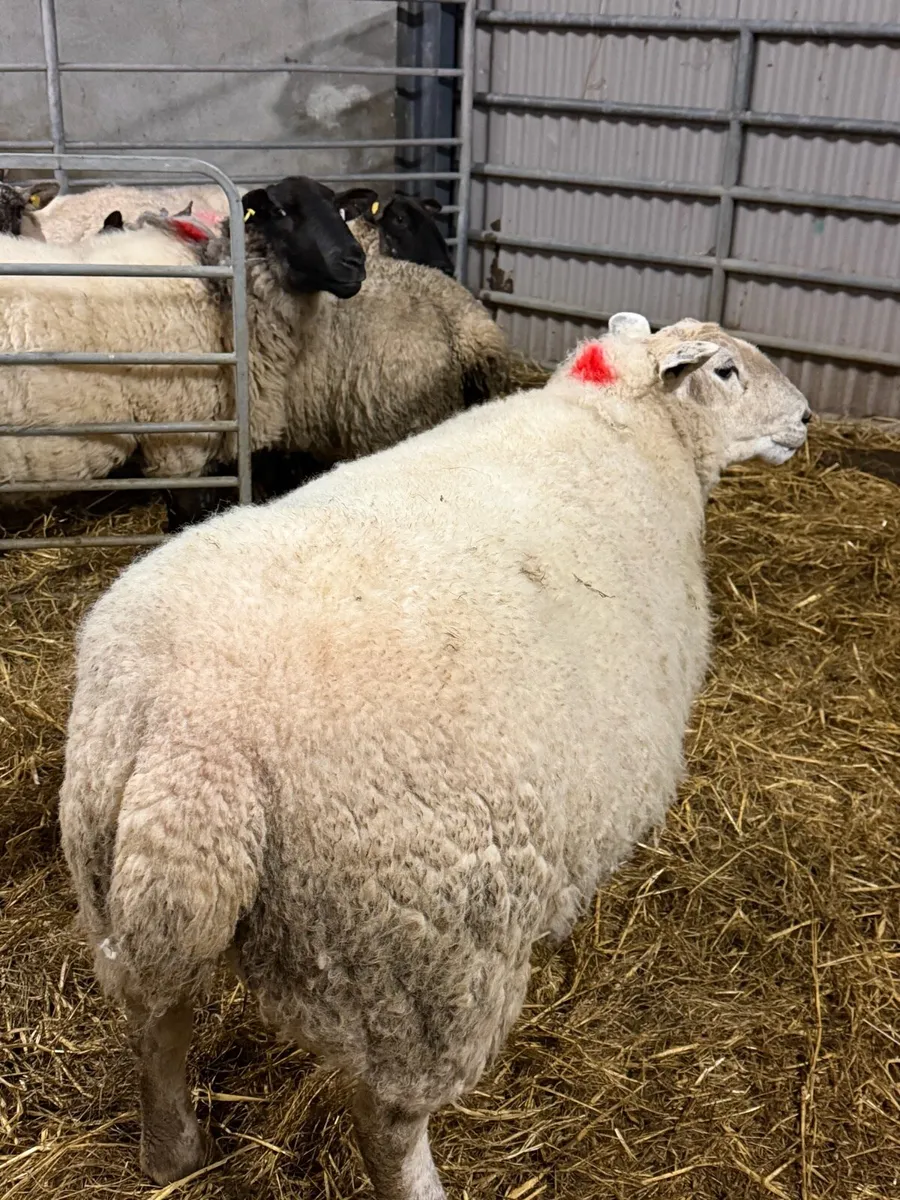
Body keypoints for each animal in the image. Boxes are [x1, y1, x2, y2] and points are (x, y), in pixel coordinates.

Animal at [58, 313, 811, 1198]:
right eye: (726, 371)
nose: (806, 418)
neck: (622, 421)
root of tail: (194, 743)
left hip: (119, 882)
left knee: (157, 1021)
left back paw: (171, 1154)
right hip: (417, 965)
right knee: (387, 1120)